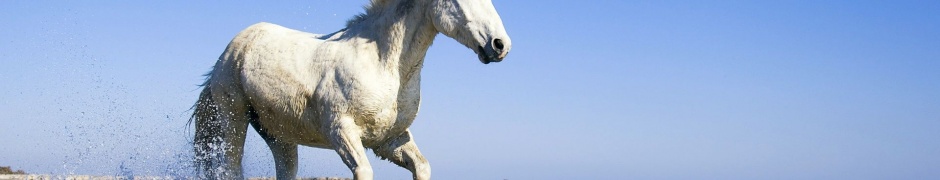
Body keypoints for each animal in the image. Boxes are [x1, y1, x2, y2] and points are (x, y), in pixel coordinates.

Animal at [191, 0, 510, 179]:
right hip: (234, 117)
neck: (383, 63)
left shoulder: (389, 140)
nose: (500, 45)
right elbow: (364, 171)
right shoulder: (341, 130)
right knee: (232, 166)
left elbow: (422, 166)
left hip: (279, 135)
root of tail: (234, 46)